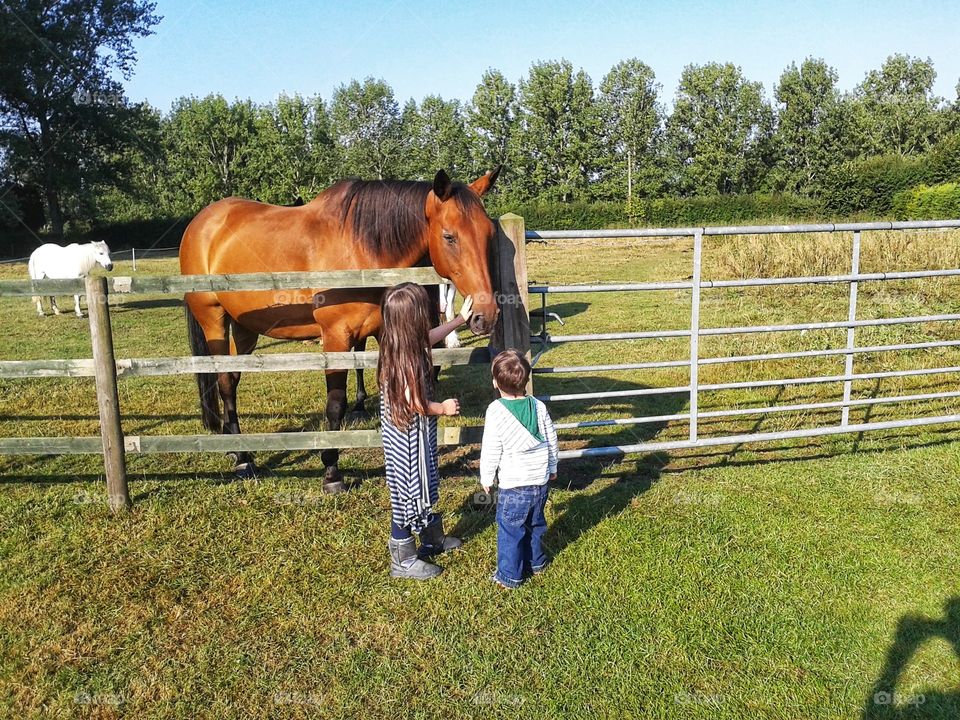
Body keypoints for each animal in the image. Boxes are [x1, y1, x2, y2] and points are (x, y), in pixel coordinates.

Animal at [179, 168, 501, 492]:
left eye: (489, 233)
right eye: (449, 236)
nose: (485, 315)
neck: (361, 250)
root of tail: (201, 221)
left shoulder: (384, 332)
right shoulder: (336, 337)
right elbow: (336, 404)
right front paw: (332, 470)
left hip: (246, 328)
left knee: (231, 380)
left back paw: (233, 446)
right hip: (214, 320)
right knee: (222, 380)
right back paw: (244, 458)